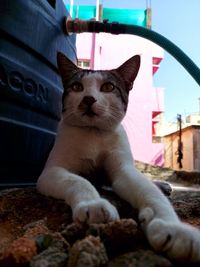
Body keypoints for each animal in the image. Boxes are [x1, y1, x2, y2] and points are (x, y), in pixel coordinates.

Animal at [37, 52, 200, 264]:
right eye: (76, 87)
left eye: (108, 87)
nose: (88, 98)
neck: (94, 134)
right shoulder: (51, 171)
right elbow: (77, 180)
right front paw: (93, 204)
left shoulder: (124, 170)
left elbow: (150, 193)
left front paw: (174, 229)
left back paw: (162, 185)